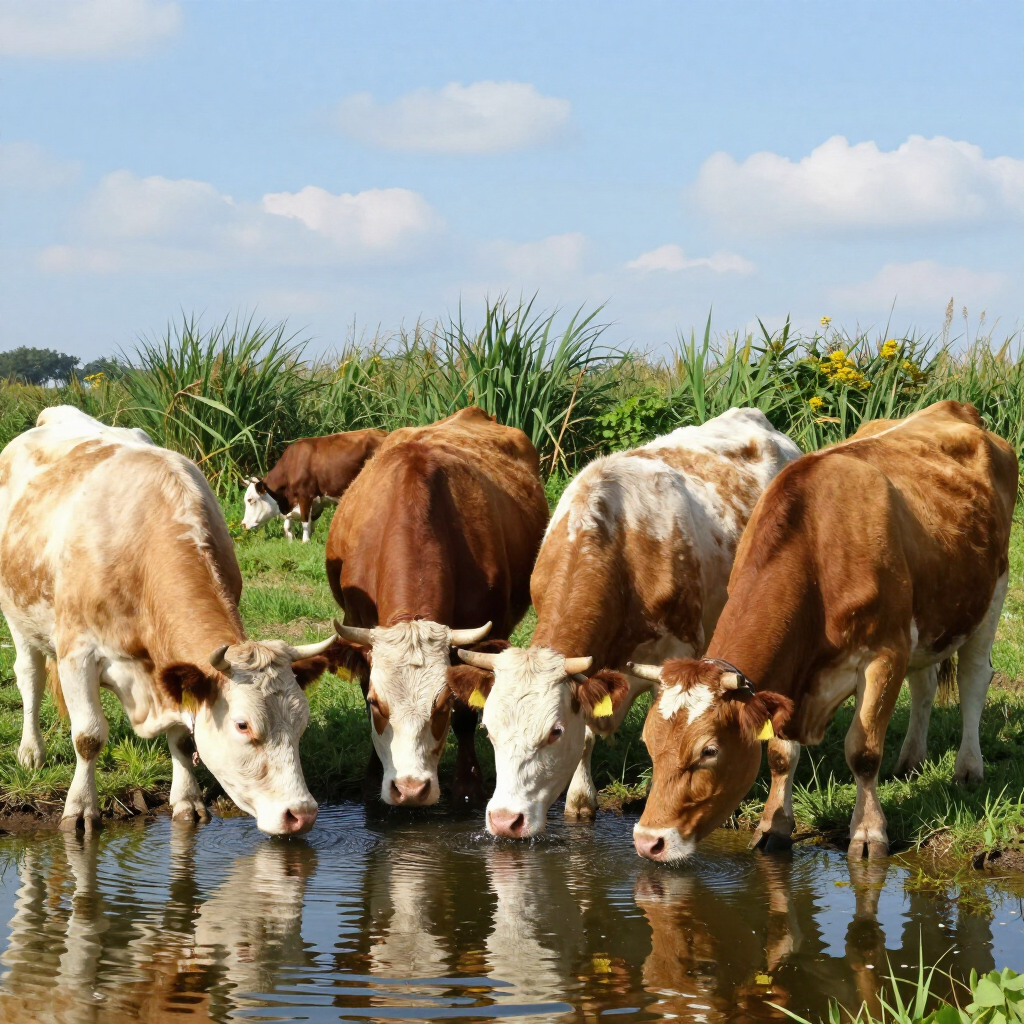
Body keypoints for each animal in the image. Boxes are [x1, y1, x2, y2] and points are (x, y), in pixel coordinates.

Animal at [0, 406, 337, 834]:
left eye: (302, 722)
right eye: (243, 725)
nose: (301, 814)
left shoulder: (173, 671)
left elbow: (183, 739)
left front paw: (187, 800)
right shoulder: (77, 653)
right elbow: (88, 737)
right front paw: (80, 808)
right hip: (17, 613)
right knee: (29, 676)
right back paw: (31, 751)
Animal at [242, 428, 385, 542]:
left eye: (250, 500)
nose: (243, 524)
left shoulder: (305, 496)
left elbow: (305, 523)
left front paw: (305, 542)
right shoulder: (316, 503)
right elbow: (292, 526)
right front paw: (292, 541)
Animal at [325, 406, 549, 807]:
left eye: (441, 705)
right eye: (377, 704)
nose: (411, 789)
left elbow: (466, 714)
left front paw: (468, 785)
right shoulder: (359, 629)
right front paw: (371, 780)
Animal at [450, 407, 802, 837]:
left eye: (554, 733)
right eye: (489, 730)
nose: (504, 821)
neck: (618, 544)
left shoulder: (676, 654)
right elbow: (588, 735)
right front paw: (580, 803)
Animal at [630, 401, 1017, 863]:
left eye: (709, 750)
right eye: (648, 742)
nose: (648, 841)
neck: (818, 550)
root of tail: (953, 407)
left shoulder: (885, 653)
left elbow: (863, 752)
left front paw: (868, 833)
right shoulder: (789, 678)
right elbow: (780, 754)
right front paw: (773, 826)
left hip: (993, 590)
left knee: (974, 679)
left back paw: (968, 768)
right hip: (929, 615)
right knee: (923, 685)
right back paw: (910, 761)